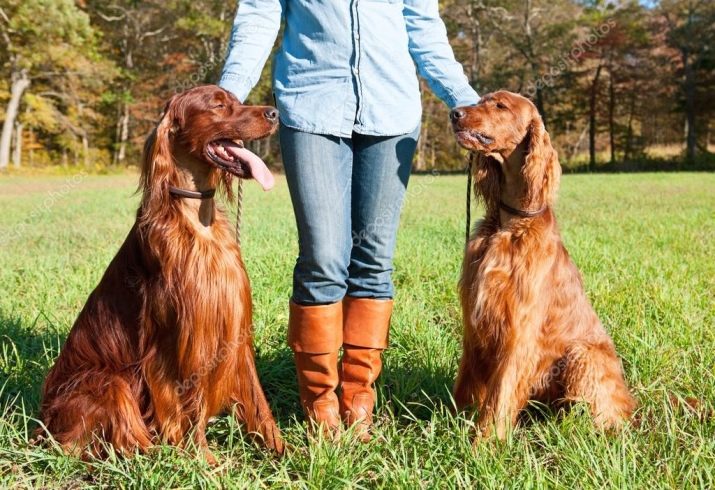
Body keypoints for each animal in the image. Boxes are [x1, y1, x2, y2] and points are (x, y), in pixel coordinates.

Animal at [36, 86, 282, 462]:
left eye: (237, 101)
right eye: (218, 105)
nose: (274, 113)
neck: (197, 219)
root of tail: (43, 420)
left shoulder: (233, 326)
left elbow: (257, 401)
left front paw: (285, 451)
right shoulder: (179, 338)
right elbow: (189, 405)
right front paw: (204, 461)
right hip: (108, 382)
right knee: (110, 442)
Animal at [450, 90, 636, 438]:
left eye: (500, 105)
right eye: (480, 99)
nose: (454, 113)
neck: (511, 224)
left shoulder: (519, 329)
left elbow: (501, 393)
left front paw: (487, 440)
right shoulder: (475, 323)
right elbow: (466, 383)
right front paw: (451, 421)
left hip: (583, 355)